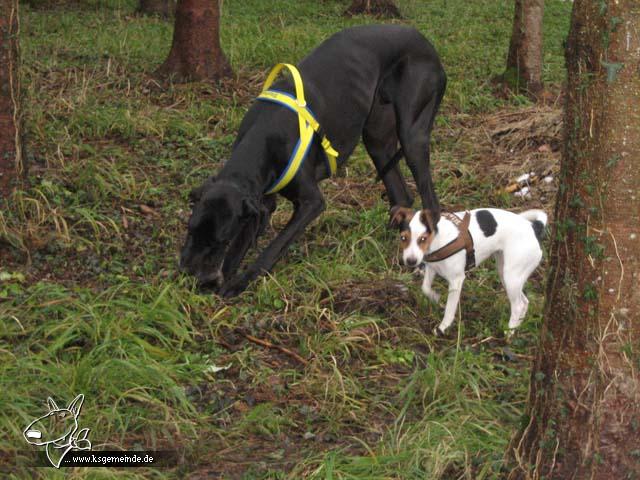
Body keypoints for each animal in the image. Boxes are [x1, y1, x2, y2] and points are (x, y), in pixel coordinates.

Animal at [180, 26, 444, 298]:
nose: (192, 276)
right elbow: (240, 245)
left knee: (431, 203)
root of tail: (426, 43)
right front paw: (227, 278)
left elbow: (274, 247)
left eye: (220, 240)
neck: (265, 134)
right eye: (190, 228)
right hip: (377, 139)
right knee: (401, 195)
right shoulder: (260, 201)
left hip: (412, 135)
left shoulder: (310, 202)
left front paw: (240, 282)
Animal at [390, 205, 544, 334]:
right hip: (506, 274)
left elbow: (449, 310)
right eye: (403, 238)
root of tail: (533, 227)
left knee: (518, 305)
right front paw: (436, 298)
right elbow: (425, 288)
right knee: (524, 302)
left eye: (423, 239)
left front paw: (443, 327)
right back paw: (517, 326)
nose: (410, 261)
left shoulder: (456, 281)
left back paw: (509, 331)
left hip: (511, 277)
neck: (438, 240)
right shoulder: (432, 268)